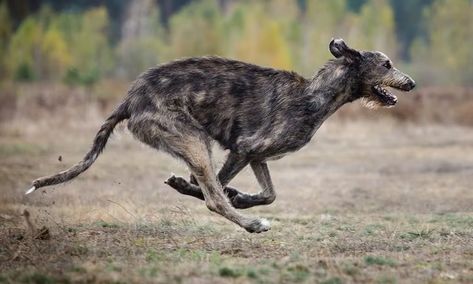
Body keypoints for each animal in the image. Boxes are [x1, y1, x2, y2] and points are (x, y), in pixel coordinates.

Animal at [27, 39, 414, 233]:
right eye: (386, 64)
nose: (411, 83)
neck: (314, 95)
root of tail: (129, 98)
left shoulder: (255, 155)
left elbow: (269, 193)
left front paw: (240, 196)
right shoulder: (244, 148)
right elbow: (216, 190)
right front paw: (230, 198)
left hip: (193, 142)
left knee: (209, 187)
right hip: (193, 140)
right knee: (212, 197)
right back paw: (251, 225)